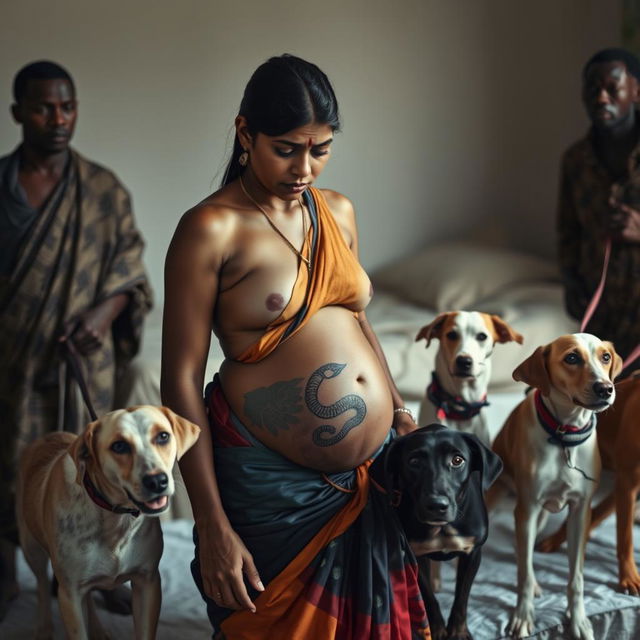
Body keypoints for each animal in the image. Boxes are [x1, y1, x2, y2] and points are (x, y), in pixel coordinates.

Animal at [16, 404, 200, 640]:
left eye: (163, 436)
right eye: (119, 446)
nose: (157, 481)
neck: (115, 518)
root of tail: (46, 436)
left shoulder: (147, 582)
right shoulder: (69, 593)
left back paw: (97, 630)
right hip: (31, 548)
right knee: (41, 584)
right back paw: (44, 627)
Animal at [372, 424, 502, 640]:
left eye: (457, 460)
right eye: (414, 461)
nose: (436, 505)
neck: (443, 528)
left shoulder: (472, 553)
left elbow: (461, 598)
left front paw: (458, 631)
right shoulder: (415, 555)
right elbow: (429, 598)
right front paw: (438, 630)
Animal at [484, 336, 620, 640]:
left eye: (605, 357)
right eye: (572, 358)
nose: (605, 388)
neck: (564, 435)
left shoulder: (580, 512)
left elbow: (576, 578)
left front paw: (578, 619)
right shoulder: (528, 509)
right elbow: (523, 574)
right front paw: (523, 616)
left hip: (542, 515)